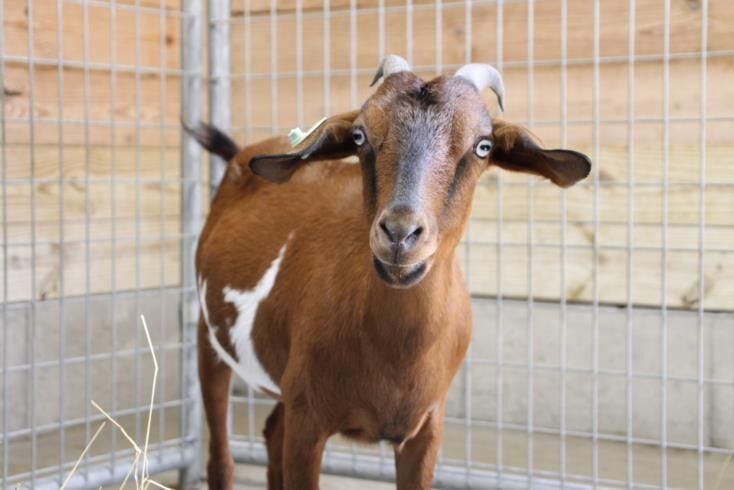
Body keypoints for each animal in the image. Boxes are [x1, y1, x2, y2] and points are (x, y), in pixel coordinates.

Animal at [188, 55, 592, 488]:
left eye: (483, 146)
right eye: (359, 136)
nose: (400, 233)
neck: (394, 355)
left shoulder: (426, 428)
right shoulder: (308, 419)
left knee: (270, 433)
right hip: (209, 339)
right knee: (220, 455)